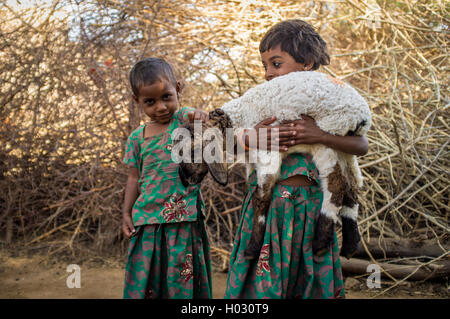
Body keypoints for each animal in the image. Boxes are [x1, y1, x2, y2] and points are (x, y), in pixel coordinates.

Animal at [178, 70, 370, 260]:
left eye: (193, 152)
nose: (184, 178)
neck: (239, 119)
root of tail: (363, 116)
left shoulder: (268, 150)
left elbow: (262, 196)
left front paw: (253, 249)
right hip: (344, 149)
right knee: (352, 187)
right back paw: (350, 244)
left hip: (326, 135)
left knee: (336, 185)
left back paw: (320, 243)